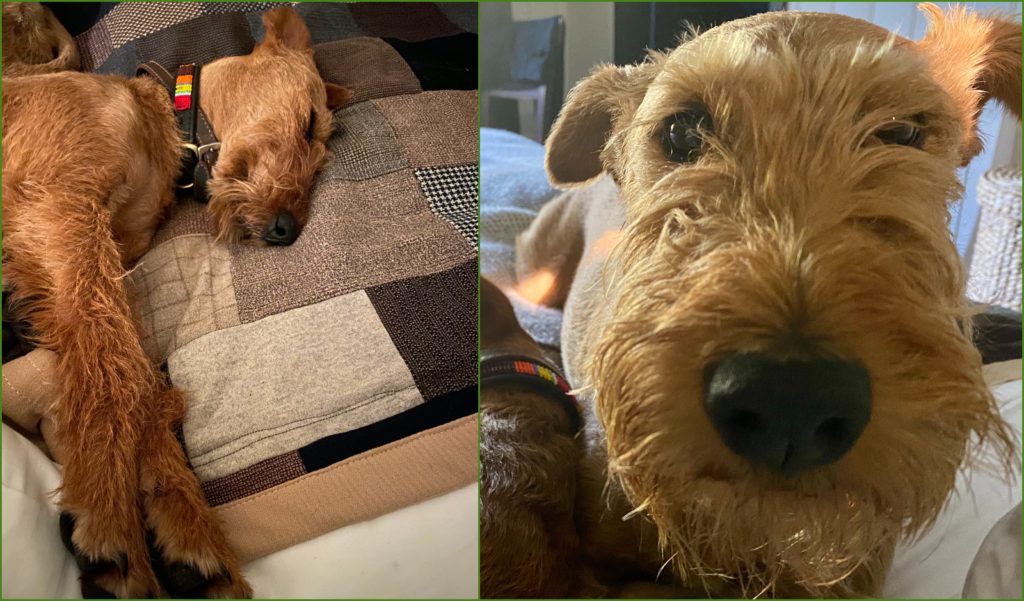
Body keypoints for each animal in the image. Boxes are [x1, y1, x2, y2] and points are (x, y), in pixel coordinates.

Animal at [3, 4, 352, 597]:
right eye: (308, 123)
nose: (286, 230)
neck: (163, 122)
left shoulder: (87, 261)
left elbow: (136, 374)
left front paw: (184, 527)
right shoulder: (59, 209)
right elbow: (117, 368)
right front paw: (108, 514)